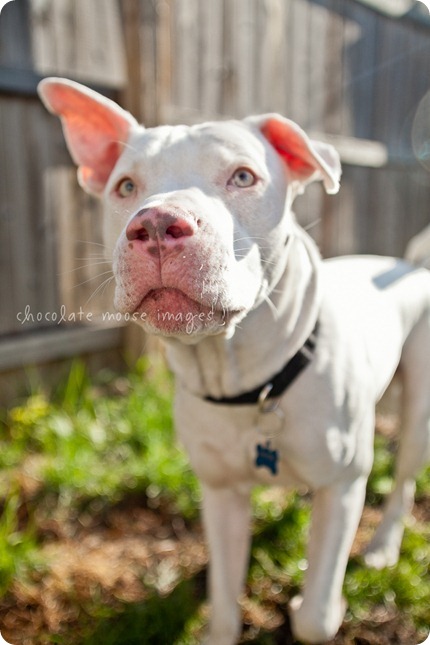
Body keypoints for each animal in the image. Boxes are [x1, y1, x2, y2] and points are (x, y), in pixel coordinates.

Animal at [37, 79, 430, 644]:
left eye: (243, 176)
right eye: (126, 187)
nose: (157, 222)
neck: (244, 380)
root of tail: (407, 265)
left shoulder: (343, 486)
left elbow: (315, 617)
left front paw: (312, 604)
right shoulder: (220, 494)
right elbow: (224, 598)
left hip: (417, 416)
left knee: (401, 484)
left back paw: (380, 548)